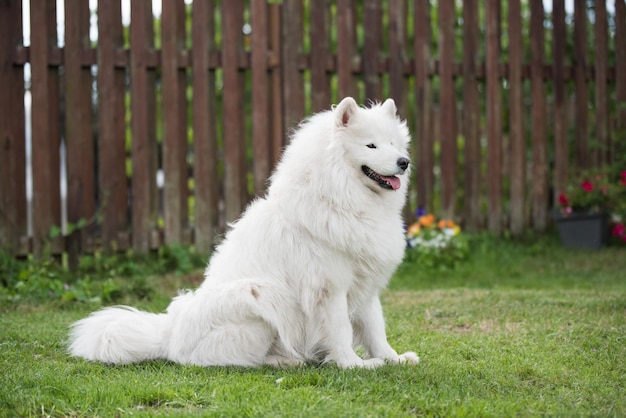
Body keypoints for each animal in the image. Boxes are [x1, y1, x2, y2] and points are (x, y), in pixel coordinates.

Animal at [68, 98, 420, 370]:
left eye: (393, 143)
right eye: (371, 145)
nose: (404, 162)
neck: (343, 199)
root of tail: (169, 337)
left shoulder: (365, 286)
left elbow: (375, 329)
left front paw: (393, 358)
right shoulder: (329, 288)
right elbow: (342, 332)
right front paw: (355, 365)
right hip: (260, 295)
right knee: (233, 361)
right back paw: (288, 361)